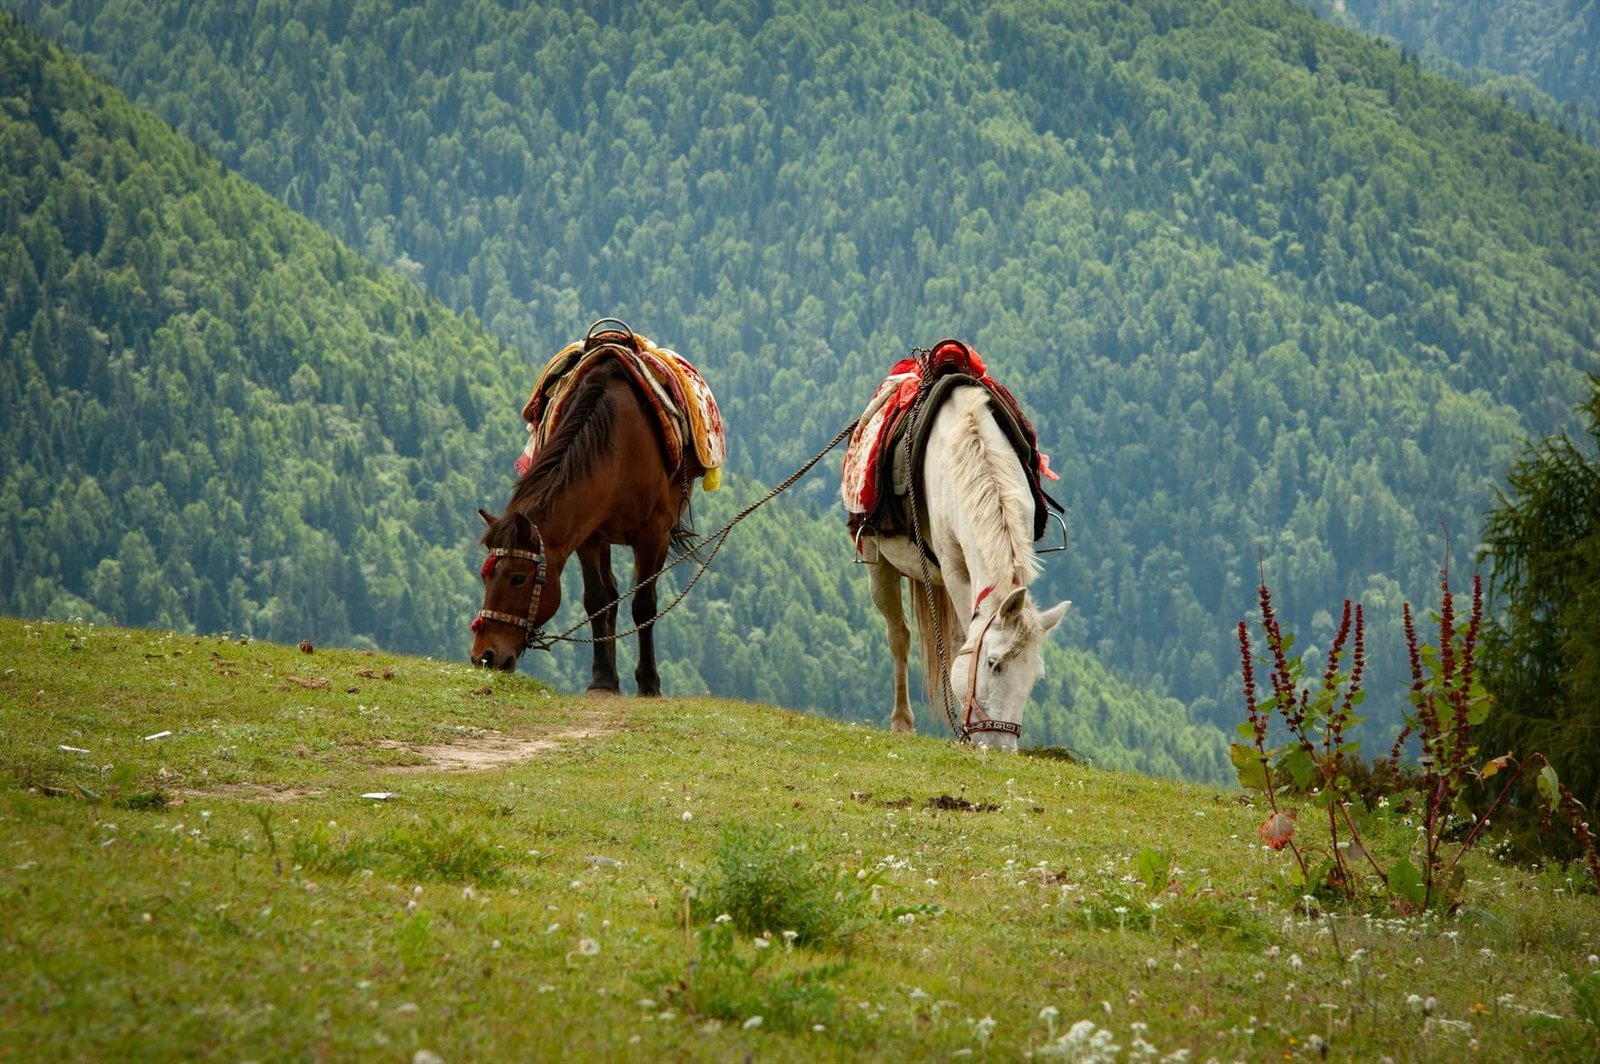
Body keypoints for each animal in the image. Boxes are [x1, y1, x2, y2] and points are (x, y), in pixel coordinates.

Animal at [470, 346, 706, 696]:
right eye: (485, 575)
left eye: (518, 578)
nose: (484, 656)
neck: (620, 448)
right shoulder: (587, 535)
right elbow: (597, 601)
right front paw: (602, 680)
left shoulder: (653, 536)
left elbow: (644, 606)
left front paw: (649, 683)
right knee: (611, 596)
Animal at [855, 378, 1069, 750]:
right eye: (993, 663)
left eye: (1035, 677)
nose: (999, 748)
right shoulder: (955, 570)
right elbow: (958, 644)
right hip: (878, 564)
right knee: (899, 636)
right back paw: (901, 721)